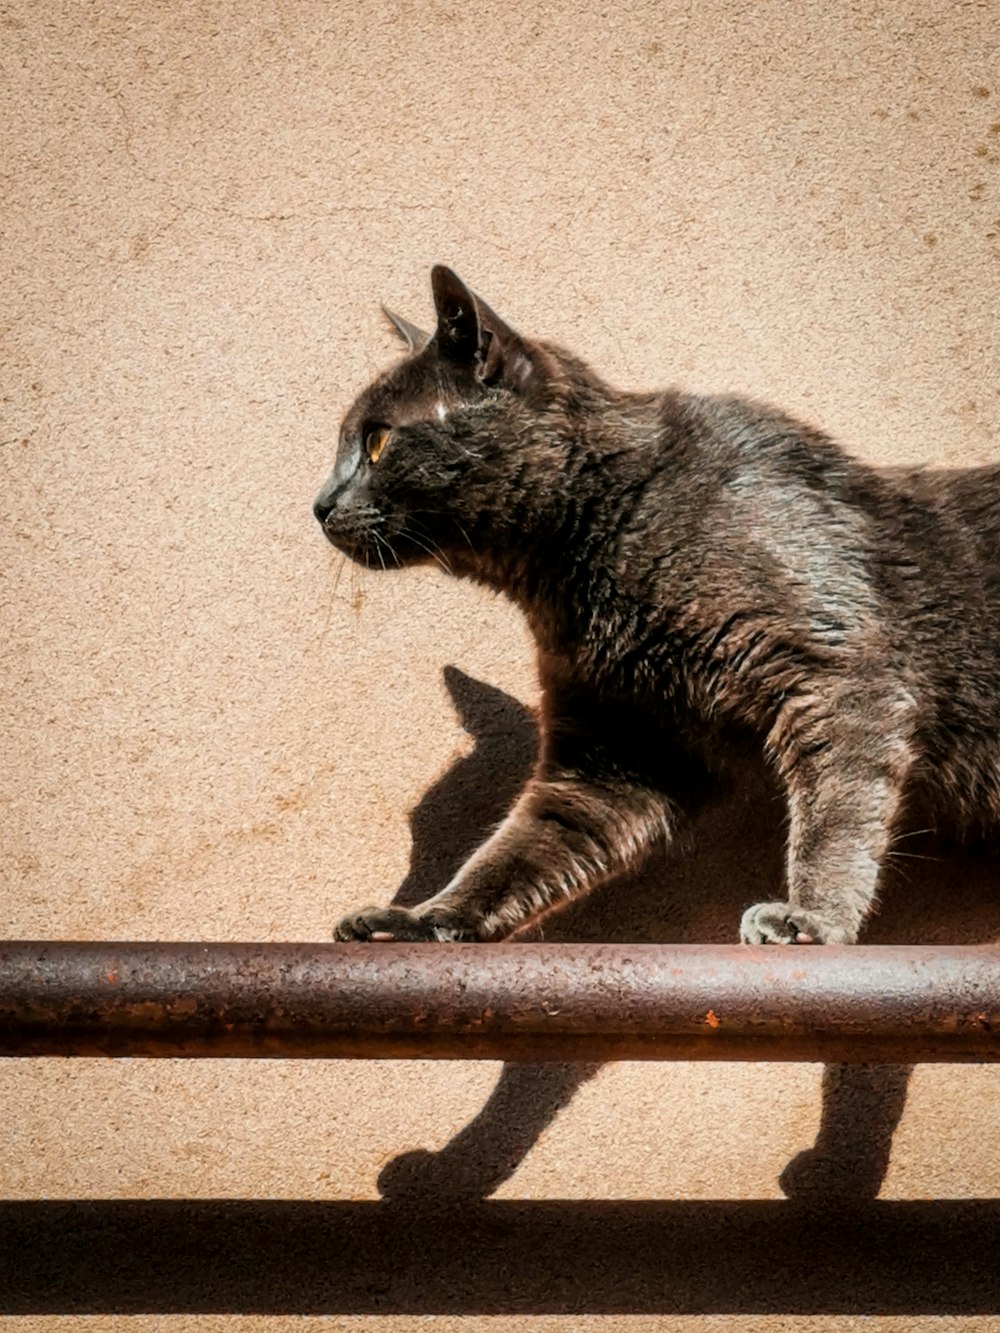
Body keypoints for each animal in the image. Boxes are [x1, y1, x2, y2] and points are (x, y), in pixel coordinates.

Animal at [314, 262, 1000, 949]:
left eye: (377, 442)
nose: (318, 504)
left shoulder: (836, 672)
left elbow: (838, 808)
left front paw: (812, 917)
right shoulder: (618, 746)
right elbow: (523, 847)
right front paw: (417, 919)